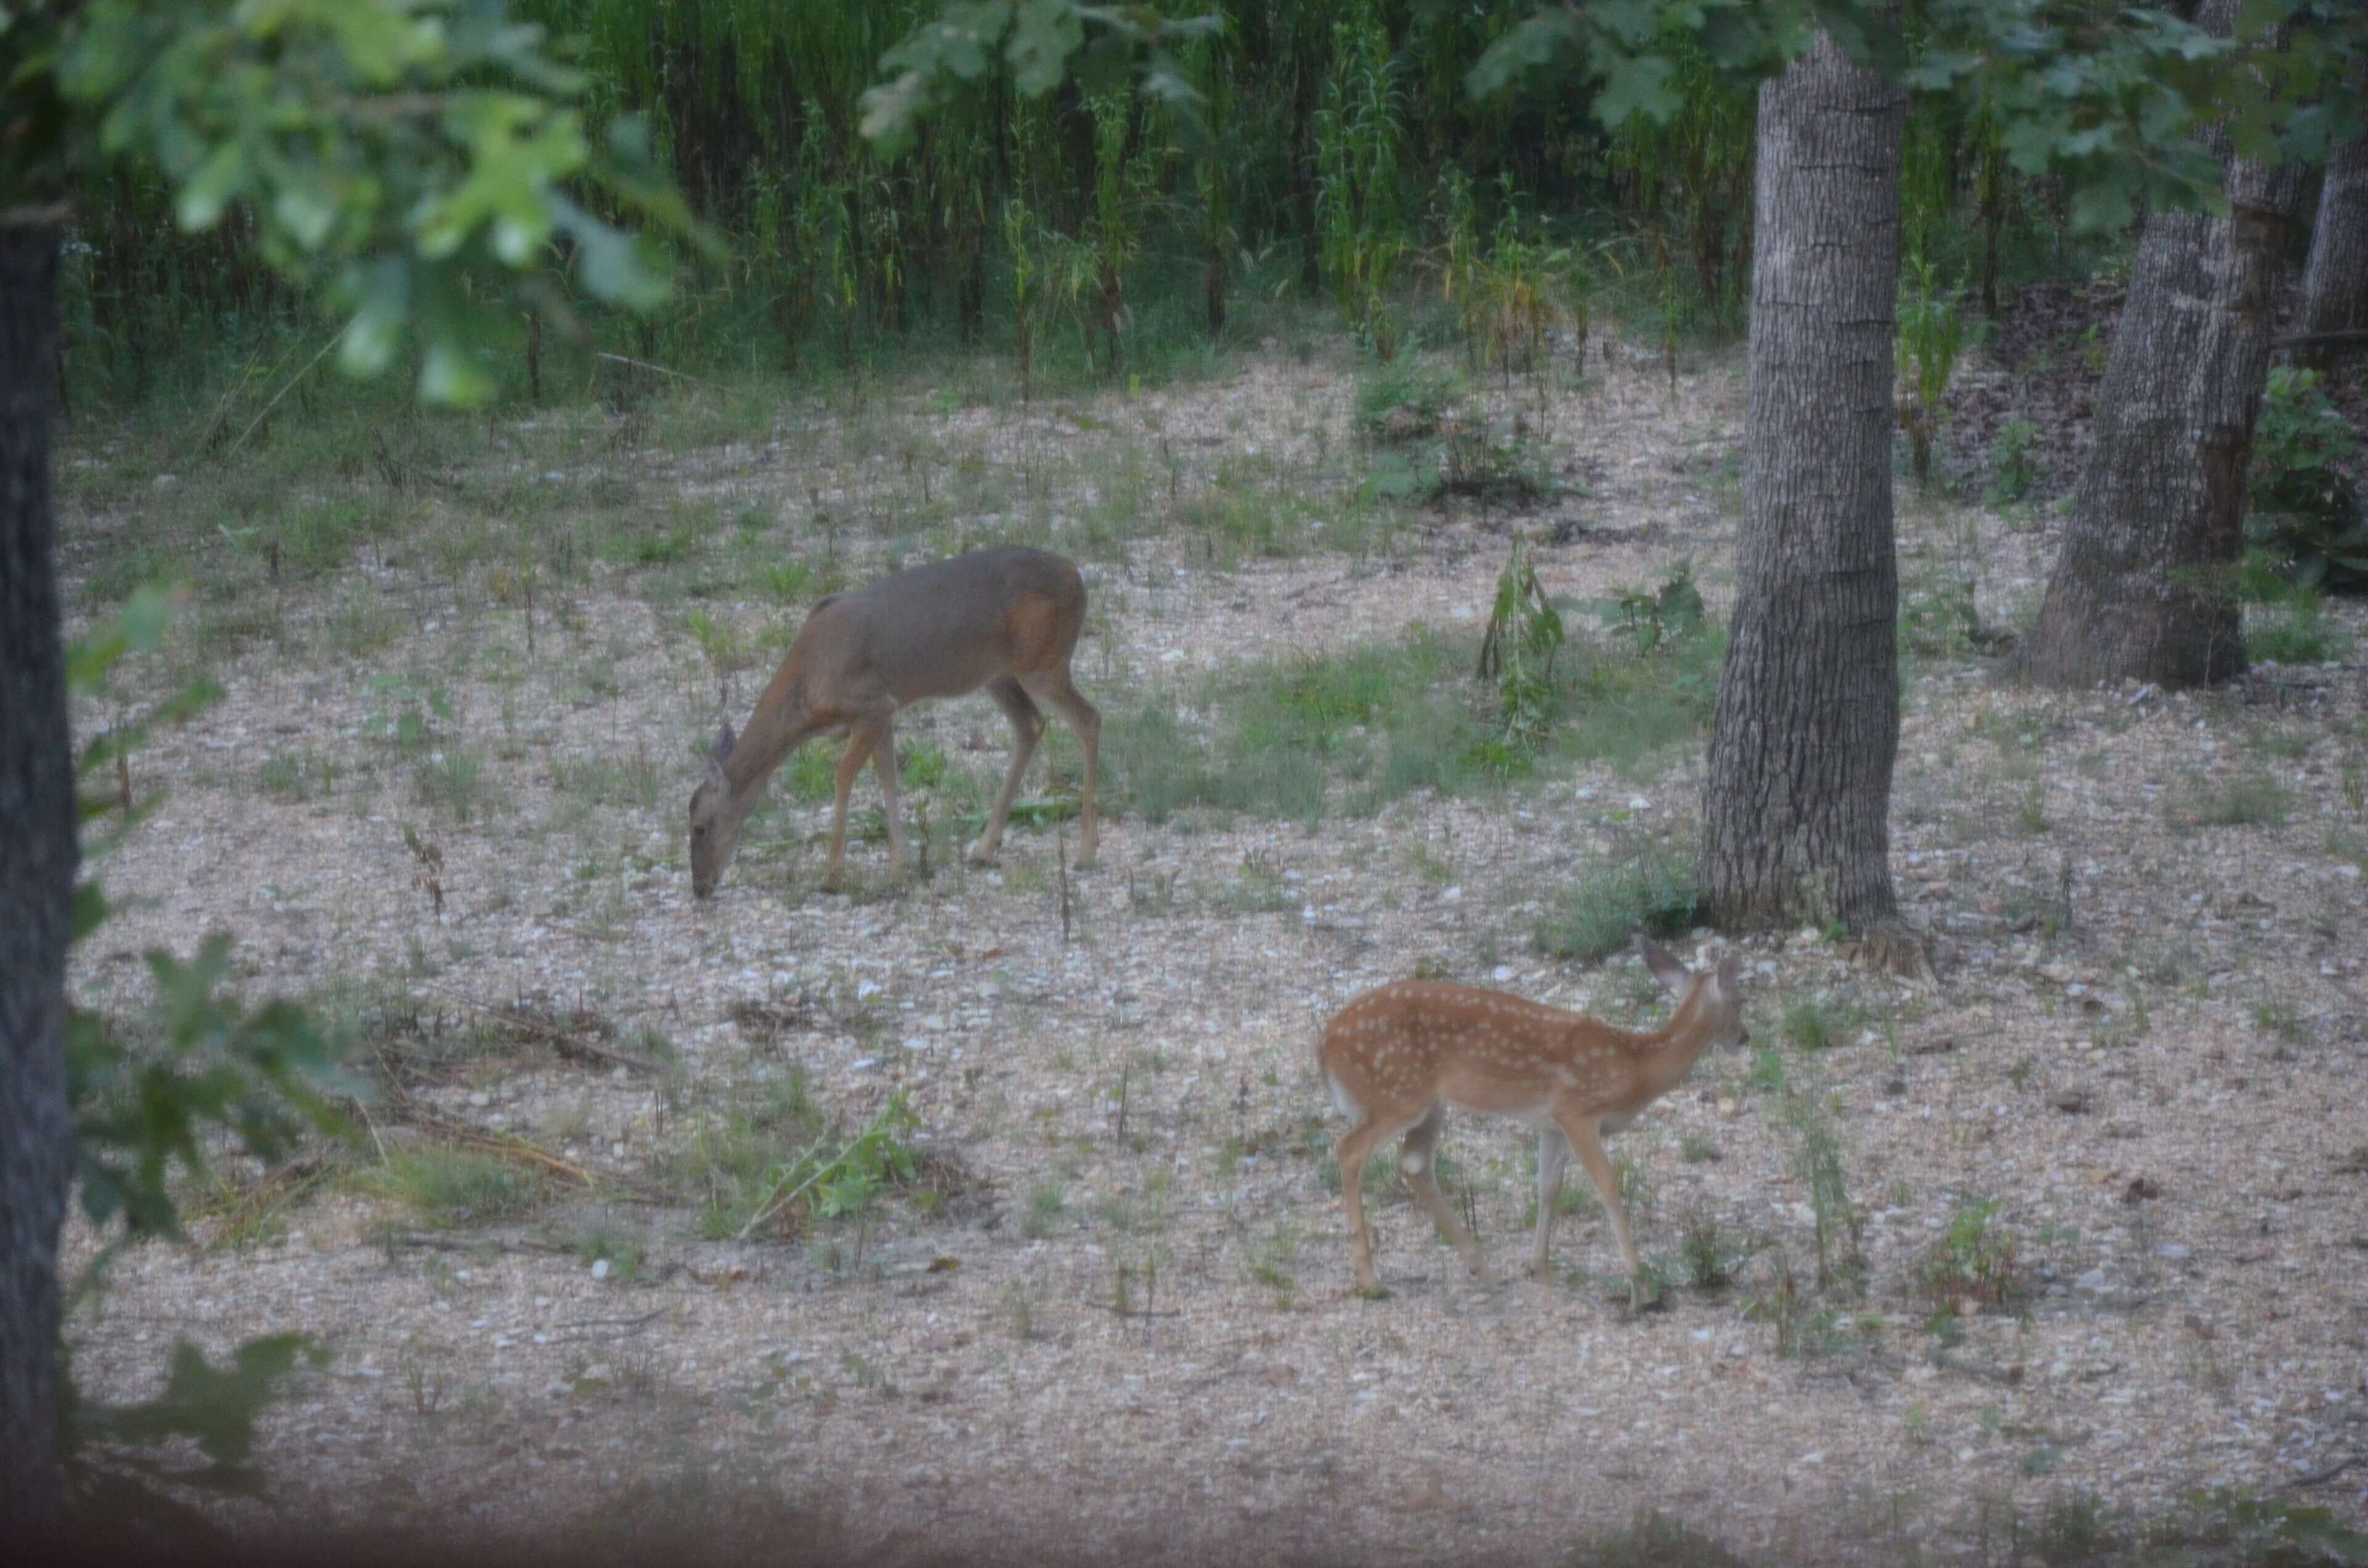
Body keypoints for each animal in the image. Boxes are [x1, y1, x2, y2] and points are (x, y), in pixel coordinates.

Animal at [688, 545, 1099, 899]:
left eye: (700, 827)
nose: (700, 887)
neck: (807, 685)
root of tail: (1076, 576)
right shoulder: (884, 711)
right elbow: (888, 776)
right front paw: (901, 866)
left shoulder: (871, 704)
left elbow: (844, 777)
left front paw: (833, 876)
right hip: (998, 674)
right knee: (1031, 724)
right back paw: (984, 848)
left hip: (1042, 662)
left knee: (1089, 718)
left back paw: (1085, 853)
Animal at [1316, 936, 1748, 1307]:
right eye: (1740, 1000)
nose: (1744, 1038)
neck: (1635, 1065)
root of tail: (1325, 1044)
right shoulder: (1578, 1111)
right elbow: (1607, 1186)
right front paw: (1642, 1287)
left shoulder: (1551, 1123)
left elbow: (1549, 1187)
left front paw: (1539, 1268)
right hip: (1397, 1094)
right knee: (1349, 1149)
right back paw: (1370, 1281)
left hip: (1428, 1103)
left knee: (1415, 1164)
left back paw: (1483, 1269)